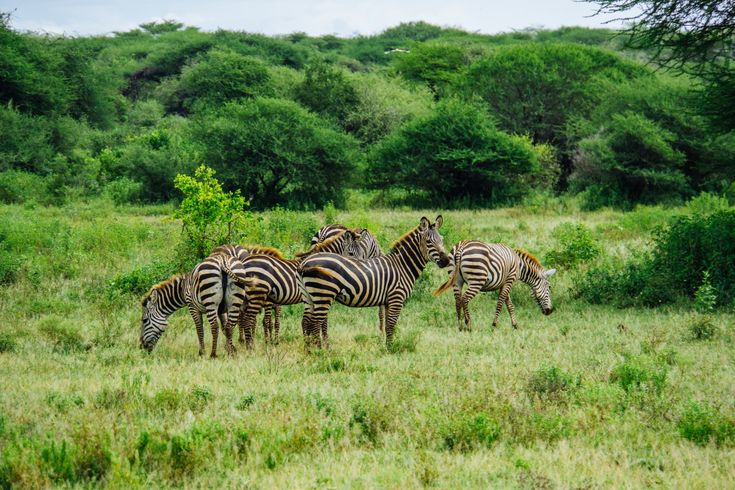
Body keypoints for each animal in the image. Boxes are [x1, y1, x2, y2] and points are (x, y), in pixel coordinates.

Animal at [222, 229, 357, 351]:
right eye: (351, 254)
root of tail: (245, 263)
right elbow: (323, 322)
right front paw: (324, 344)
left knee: (242, 319)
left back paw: (243, 343)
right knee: (248, 319)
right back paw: (249, 346)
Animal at [299, 216, 450, 348]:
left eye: (442, 240)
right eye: (429, 242)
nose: (446, 261)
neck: (401, 265)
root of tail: (305, 262)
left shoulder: (388, 301)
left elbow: (388, 324)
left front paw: (387, 346)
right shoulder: (396, 298)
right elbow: (391, 325)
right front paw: (390, 349)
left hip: (309, 296)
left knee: (307, 321)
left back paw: (309, 350)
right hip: (323, 294)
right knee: (315, 323)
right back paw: (320, 352)